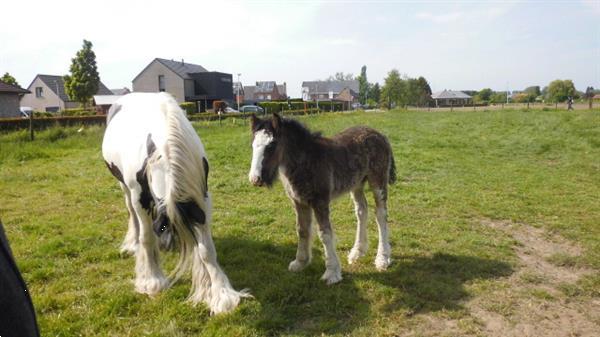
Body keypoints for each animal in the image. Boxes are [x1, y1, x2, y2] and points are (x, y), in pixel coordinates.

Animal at [102, 91, 247, 312]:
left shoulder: (202, 199)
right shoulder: (140, 198)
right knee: (131, 214)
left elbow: (206, 249)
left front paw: (221, 294)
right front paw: (153, 281)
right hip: (124, 187)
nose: (167, 245)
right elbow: (147, 237)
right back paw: (133, 244)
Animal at [248, 113, 394, 284]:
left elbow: (324, 234)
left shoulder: (320, 201)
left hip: (378, 181)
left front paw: (332, 272)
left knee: (381, 214)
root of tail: (379, 134)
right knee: (362, 211)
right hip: (357, 183)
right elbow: (302, 230)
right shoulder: (298, 201)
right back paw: (357, 252)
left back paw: (382, 258)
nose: (255, 179)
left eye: (271, 145)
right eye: (253, 145)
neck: (306, 161)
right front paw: (300, 262)